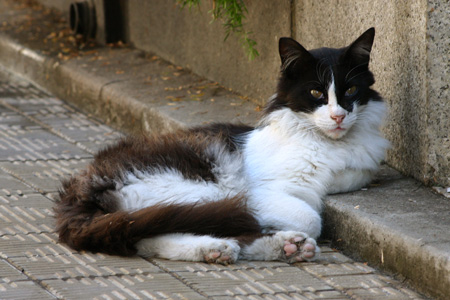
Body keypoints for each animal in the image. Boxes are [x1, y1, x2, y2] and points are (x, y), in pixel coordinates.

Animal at [54, 27, 388, 264]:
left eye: (351, 90)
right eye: (317, 93)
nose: (338, 116)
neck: (328, 144)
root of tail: (78, 190)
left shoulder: (359, 168)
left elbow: (349, 177)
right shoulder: (258, 192)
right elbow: (311, 218)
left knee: (146, 233)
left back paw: (277, 247)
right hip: (199, 186)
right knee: (157, 227)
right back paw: (229, 246)